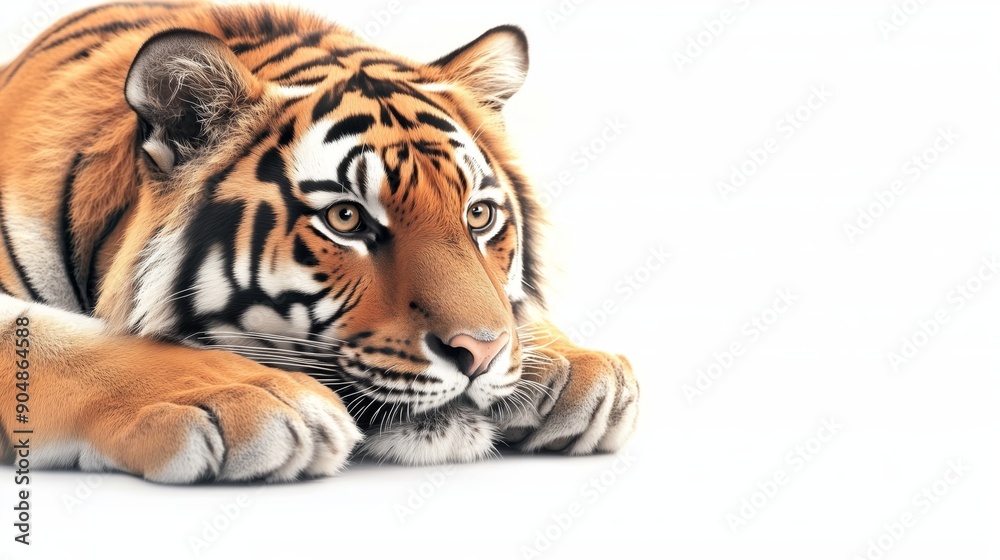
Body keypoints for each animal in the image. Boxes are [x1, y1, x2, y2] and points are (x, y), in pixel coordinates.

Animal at [0, 1, 639, 483]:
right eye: (347, 219)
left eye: (478, 215)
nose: (479, 354)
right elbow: (45, 339)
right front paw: (254, 396)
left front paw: (572, 364)